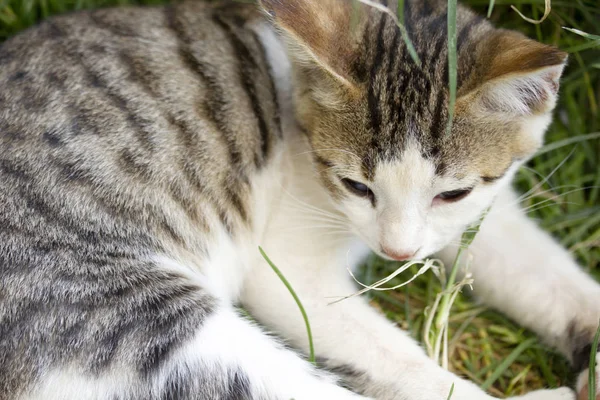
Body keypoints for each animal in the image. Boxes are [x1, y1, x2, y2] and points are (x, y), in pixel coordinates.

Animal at [1, 0, 600, 398]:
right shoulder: (287, 267)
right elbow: (391, 354)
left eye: (452, 193)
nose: (398, 253)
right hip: (119, 309)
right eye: (356, 186)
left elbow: (539, 272)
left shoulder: (485, 213)